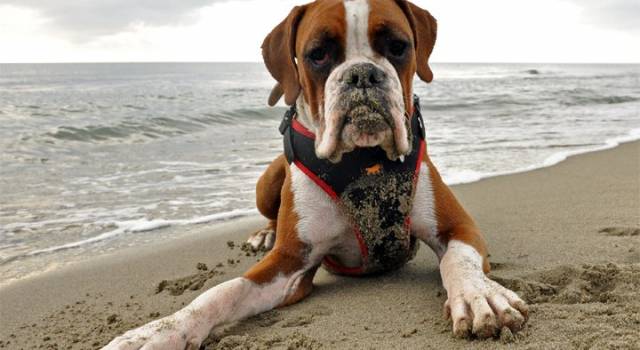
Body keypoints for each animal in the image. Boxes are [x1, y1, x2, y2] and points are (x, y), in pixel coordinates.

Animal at [105, 1, 528, 348]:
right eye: (318, 54)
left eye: (398, 46)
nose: (362, 75)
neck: (364, 162)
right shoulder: (288, 264)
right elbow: (223, 291)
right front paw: (161, 330)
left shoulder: (458, 228)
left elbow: (458, 261)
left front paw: (478, 296)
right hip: (267, 180)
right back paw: (263, 233)